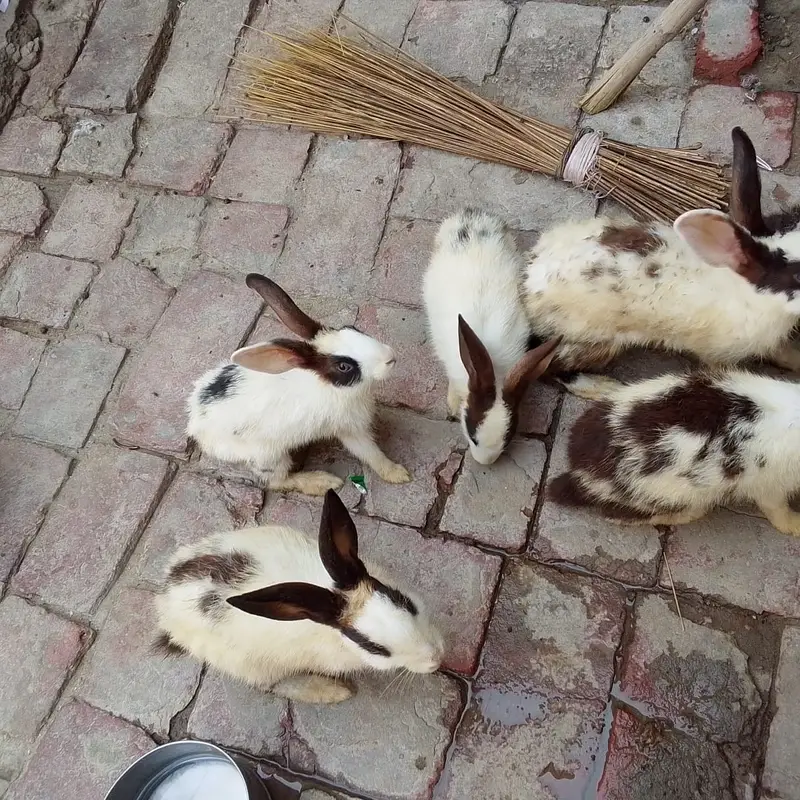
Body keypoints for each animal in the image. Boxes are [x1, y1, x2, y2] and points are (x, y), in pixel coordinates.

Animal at [154, 490, 445, 703]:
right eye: (373, 647)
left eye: (404, 600)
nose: (435, 660)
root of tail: (165, 601)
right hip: (251, 665)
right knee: (273, 686)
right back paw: (334, 692)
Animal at [187, 273, 411, 496]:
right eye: (344, 366)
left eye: (351, 327)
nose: (390, 357)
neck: (330, 386)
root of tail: (197, 427)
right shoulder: (349, 428)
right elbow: (370, 453)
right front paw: (398, 474)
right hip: (269, 456)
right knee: (277, 482)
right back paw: (323, 482)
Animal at [523, 127, 800, 402]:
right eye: (797, 277)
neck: (750, 294)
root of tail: (529, 283)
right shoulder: (718, 353)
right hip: (596, 342)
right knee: (547, 366)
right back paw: (602, 387)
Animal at [547, 368, 800, 536]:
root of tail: (579, 471)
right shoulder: (771, 487)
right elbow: (778, 513)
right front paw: (796, 526)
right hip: (667, 497)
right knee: (618, 516)